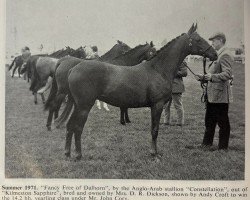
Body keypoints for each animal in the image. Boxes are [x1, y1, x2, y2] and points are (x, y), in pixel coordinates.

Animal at [54, 23, 217, 161]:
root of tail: (73, 68)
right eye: (198, 39)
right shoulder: (157, 105)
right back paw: (78, 155)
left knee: (70, 126)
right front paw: (154, 154)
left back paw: (67, 153)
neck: (158, 69)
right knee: (77, 128)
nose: (214, 54)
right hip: (84, 106)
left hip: (77, 105)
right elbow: (155, 130)